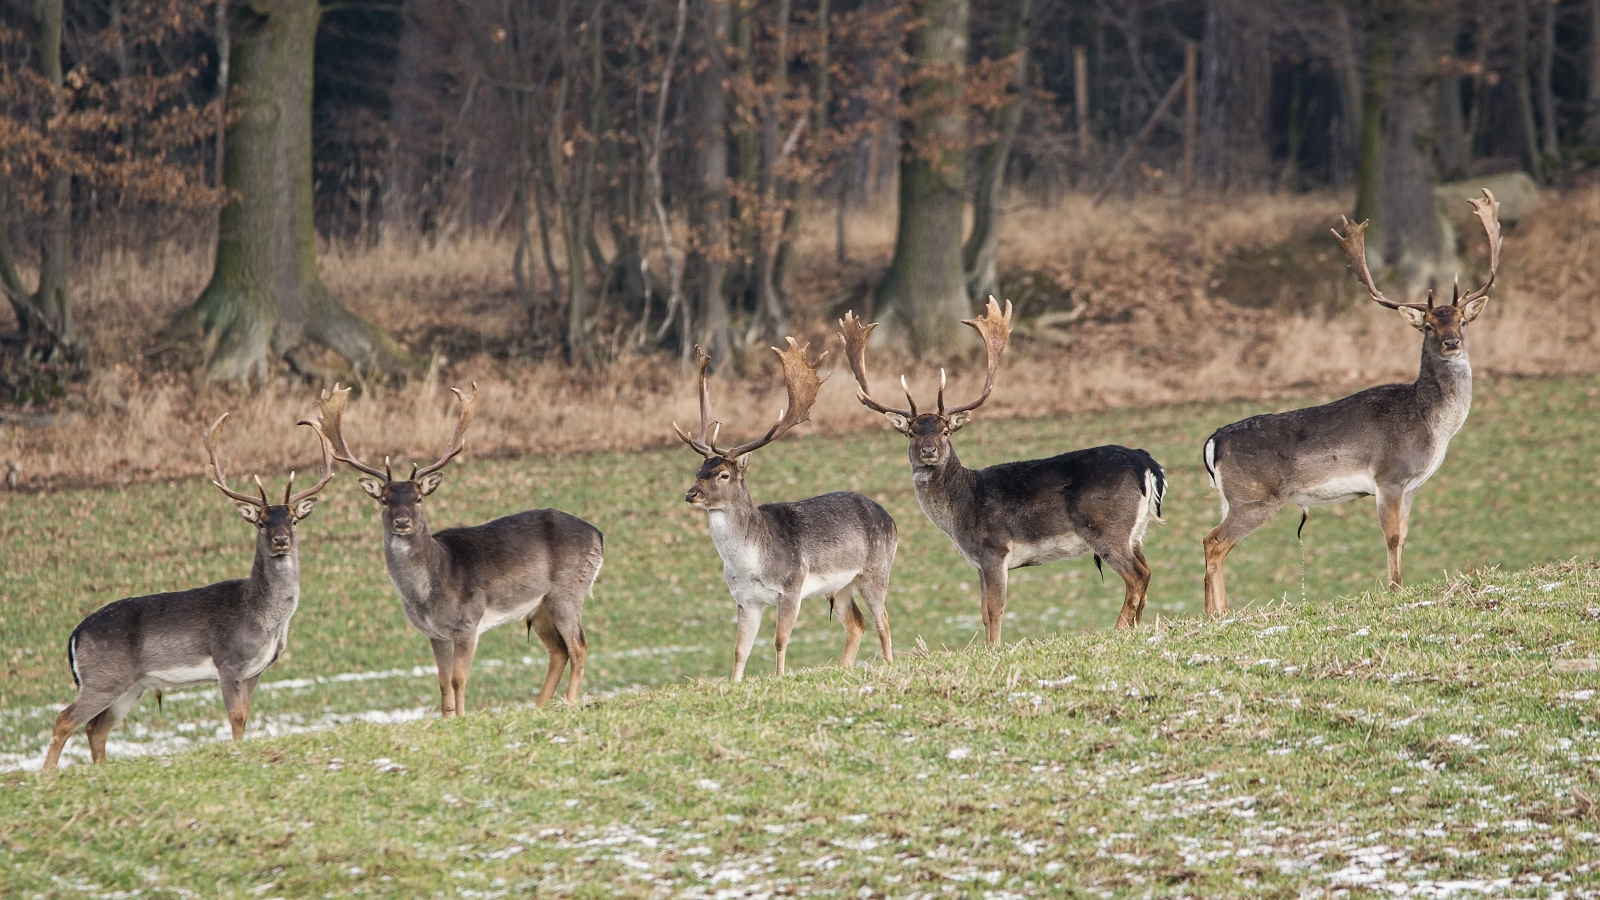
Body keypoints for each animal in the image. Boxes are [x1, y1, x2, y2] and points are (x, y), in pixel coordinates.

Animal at [41, 415, 335, 771]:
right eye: (261, 522)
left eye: (293, 519)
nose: (281, 540)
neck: (263, 618)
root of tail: (75, 635)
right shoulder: (228, 661)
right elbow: (236, 717)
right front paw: (237, 753)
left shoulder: (256, 670)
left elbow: (246, 714)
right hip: (103, 677)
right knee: (64, 720)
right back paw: (48, 774)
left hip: (131, 684)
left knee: (96, 729)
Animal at [305, 384, 603, 713]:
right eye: (383, 499)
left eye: (418, 497)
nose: (402, 521)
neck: (429, 592)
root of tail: (598, 534)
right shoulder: (435, 634)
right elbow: (443, 683)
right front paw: (449, 717)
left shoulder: (467, 623)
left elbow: (459, 680)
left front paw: (461, 717)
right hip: (538, 608)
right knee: (558, 651)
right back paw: (539, 706)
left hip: (567, 592)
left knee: (579, 645)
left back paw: (570, 701)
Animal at [674, 339, 898, 682]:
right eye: (698, 470)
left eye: (723, 475)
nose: (691, 494)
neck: (751, 562)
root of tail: (891, 519)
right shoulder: (745, 598)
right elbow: (740, 650)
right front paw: (734, 683)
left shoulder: (792, 587)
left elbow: (780, 640)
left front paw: (779, 677)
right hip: (840, 586)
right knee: (857, 623)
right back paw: (843, 668)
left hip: (876, 569)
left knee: (882, 619)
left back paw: (888, 663)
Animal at [840, 298, 1167, 643]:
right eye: (912, 433)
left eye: (945, 431)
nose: (929, 451)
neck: (958, 513)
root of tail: (1146, 463)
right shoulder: (979, 562)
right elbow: (983, 612)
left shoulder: (994, 549)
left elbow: (994, 610)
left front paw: (995, 646)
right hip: (1136, 531)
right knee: (1146, 572)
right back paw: (1135, 626)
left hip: (1107, 527)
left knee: (1136, 576)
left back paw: (1118, 629)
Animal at [1201, 189, 1503, 616]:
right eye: (1428, 326)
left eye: (1461, 321)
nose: (1451, 343)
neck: (1431, 424)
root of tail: (1213, 442)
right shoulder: (1389, 475)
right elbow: (1391, 537)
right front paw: (1395, 589)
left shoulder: (1411, 485)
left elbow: (1404, 535)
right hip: (1254, 498)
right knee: (1213, 542)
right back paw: (1220, 613)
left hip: (1230, 500)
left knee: (1211, 542)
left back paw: (1213, 612)